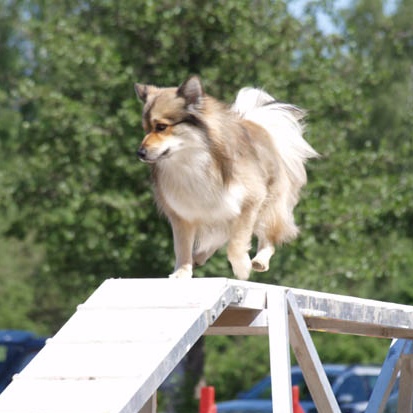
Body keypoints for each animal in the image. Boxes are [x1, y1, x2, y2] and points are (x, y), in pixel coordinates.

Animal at [134, 75, 318, 278]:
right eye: (145, 129)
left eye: (161, 127)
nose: (139, 153)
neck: (193, 159)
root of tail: (261, 127)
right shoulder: (182, 214)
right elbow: (182, 247)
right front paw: (182, 272)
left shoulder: (250, 201)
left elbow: (237, 242)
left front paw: (242, 268)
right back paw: (199, 256)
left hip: (269, 203)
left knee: (267, 234)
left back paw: (260, 260)